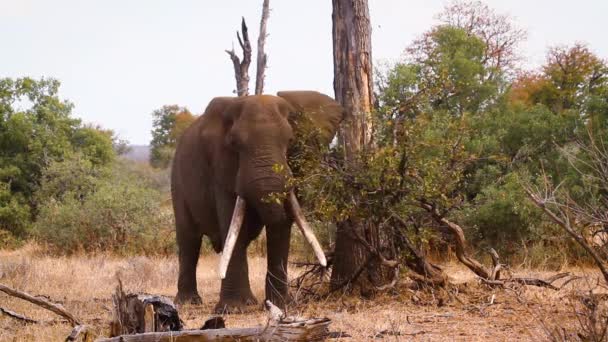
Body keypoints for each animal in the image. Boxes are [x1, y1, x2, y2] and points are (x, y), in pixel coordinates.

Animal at [171, 91, 344, 312]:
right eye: (234, 144)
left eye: (290, 140)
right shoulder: (221, 168)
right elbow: (231, 219)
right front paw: (234, 309)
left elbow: (281, 225)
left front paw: (281, 306)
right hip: (178, 181)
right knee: (189, 239)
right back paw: (188, 302)